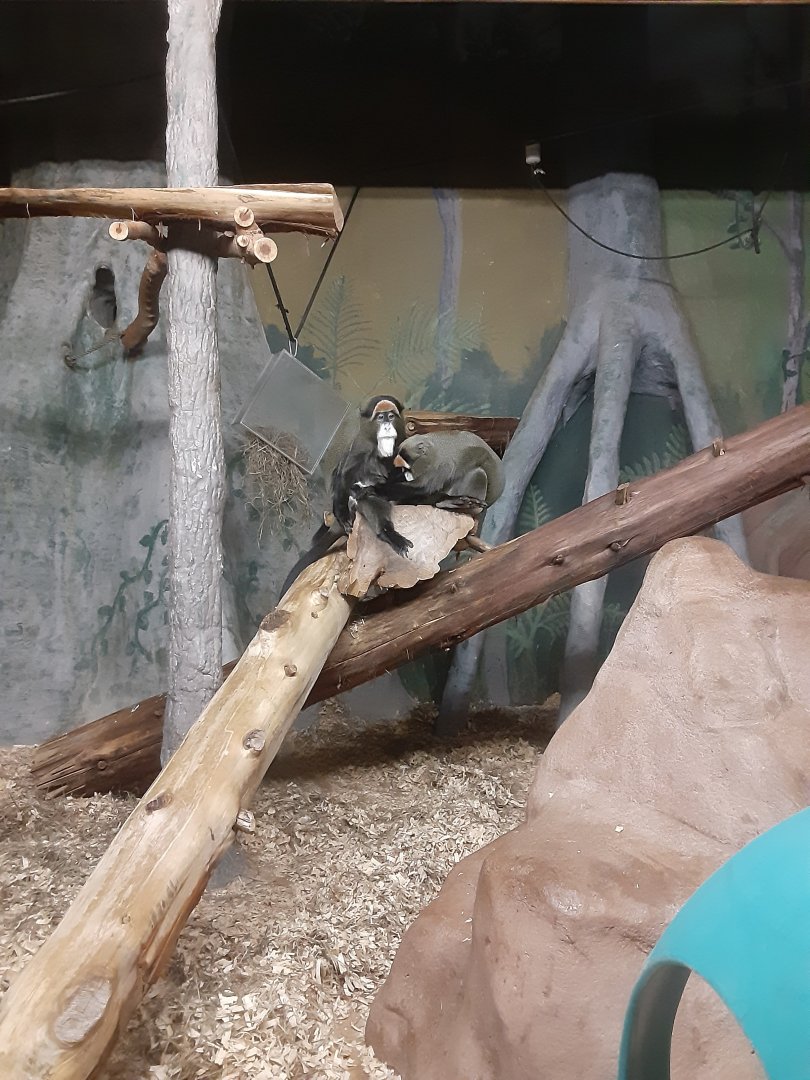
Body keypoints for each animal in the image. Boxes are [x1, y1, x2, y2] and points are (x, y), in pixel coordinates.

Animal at [280, 395, 412, 595]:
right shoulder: (358, 448)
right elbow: (345, 475)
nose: (387, 427)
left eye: (391, 416)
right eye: (380, 418)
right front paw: (343, 510)